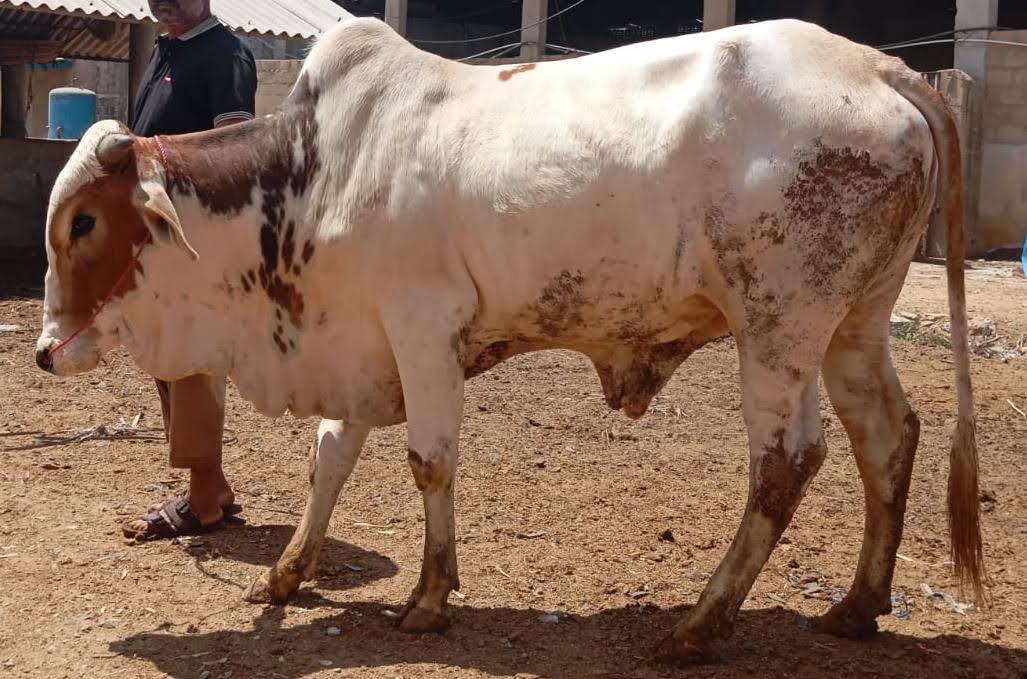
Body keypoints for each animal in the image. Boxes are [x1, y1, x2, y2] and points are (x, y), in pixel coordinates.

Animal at [35, 17, 984, 663]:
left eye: (84, 221)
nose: (44, 349)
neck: (310, 173)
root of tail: (876, 64)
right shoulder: (366, 344)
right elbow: (330, 455)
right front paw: (288, 571)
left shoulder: (423, 329)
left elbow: (429, 463)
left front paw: (427, 596)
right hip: (852, 323)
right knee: (885, 435)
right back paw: (857, 605)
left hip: (778, 326)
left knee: (787, 461)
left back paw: (699, 622)